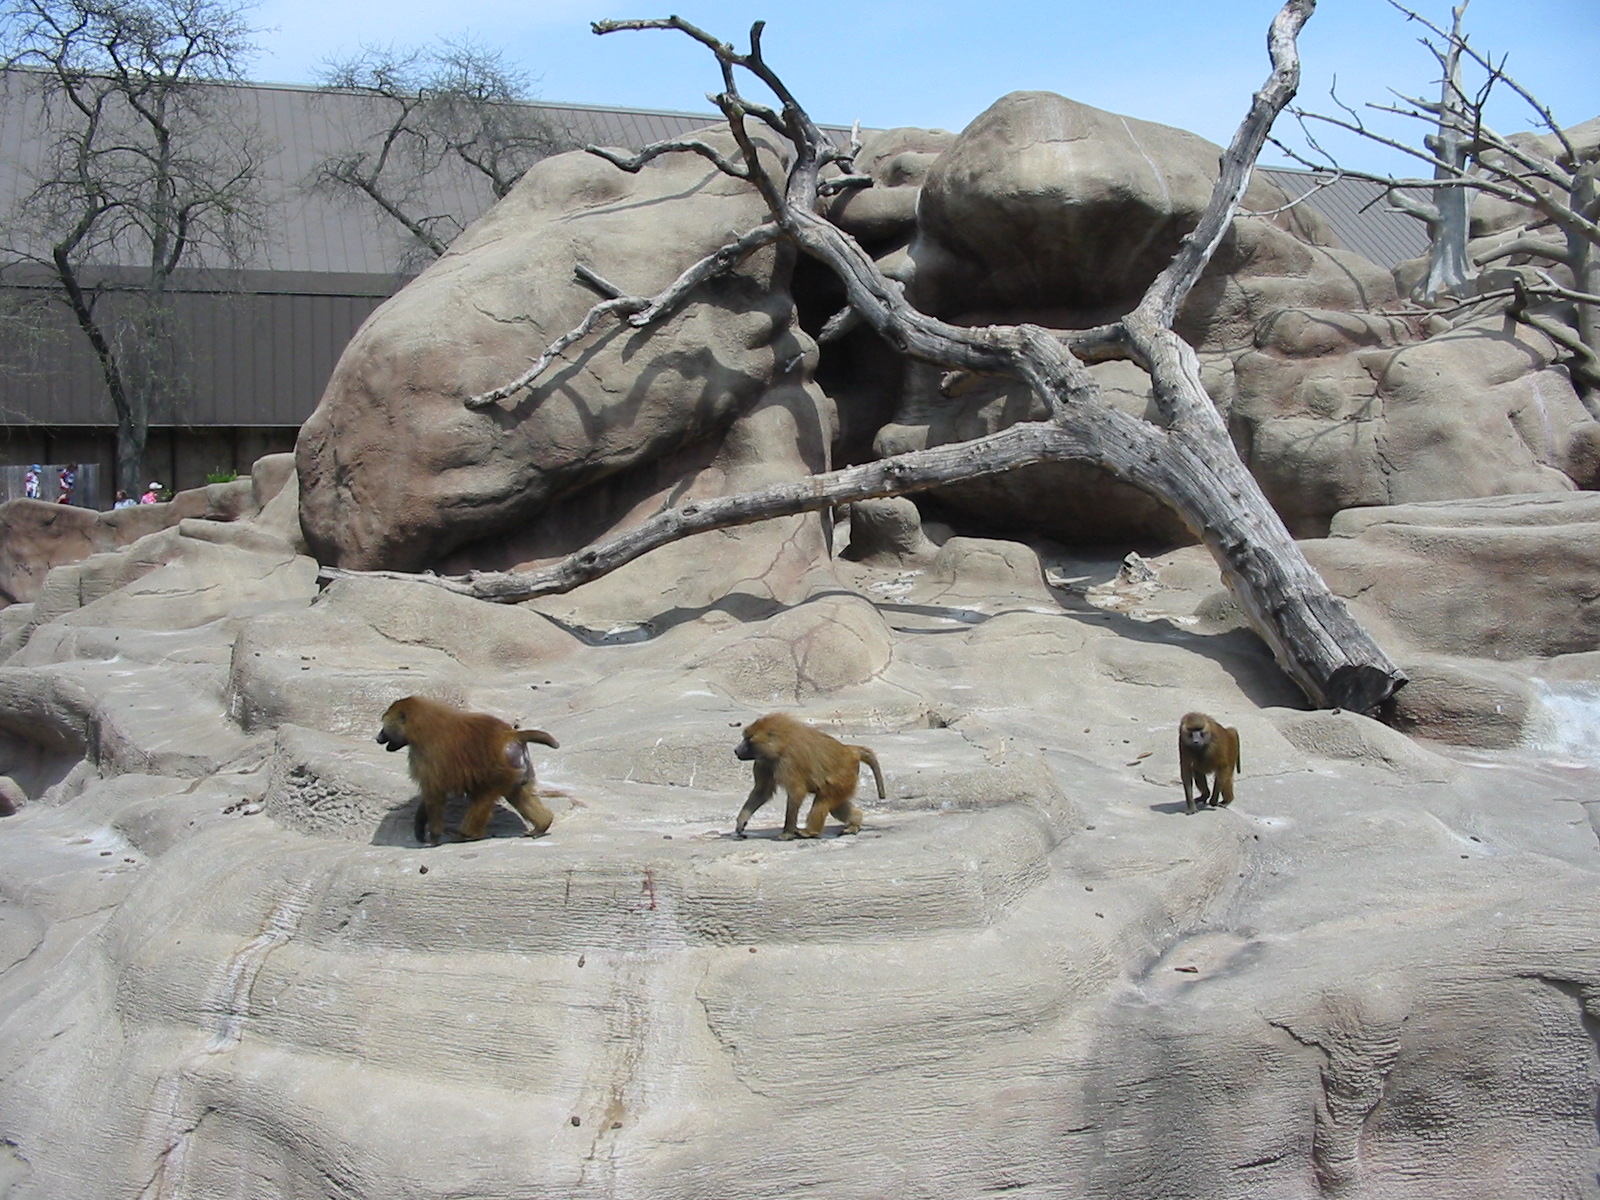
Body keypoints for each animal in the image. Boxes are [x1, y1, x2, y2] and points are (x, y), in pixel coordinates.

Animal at [376, 696, 559, 845]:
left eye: (384, 725)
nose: (378, 738)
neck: (420, 724)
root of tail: (510, 736)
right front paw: (420, 828)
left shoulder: (426, 756)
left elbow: (434, 794)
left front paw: (433, 837)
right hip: (516, 770)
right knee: (518, 794)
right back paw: (542, 825)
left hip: (499, 771)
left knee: (482, 798)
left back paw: (467, 835)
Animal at [732, 713, 885, 840]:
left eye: (748, 739)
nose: (736, 750)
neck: (780, 746)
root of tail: (850, 751)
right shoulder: (763, 762)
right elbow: (762, 791)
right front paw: (741, 821)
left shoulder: (788, 762)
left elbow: (797, 793)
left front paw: (787, 833)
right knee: (835, 807)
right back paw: (855, 823)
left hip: (844, 776)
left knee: (823, 802)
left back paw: (810, 832)